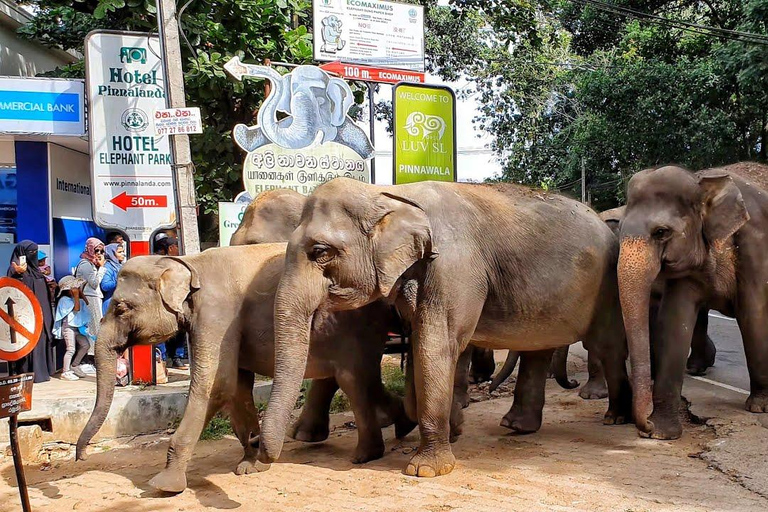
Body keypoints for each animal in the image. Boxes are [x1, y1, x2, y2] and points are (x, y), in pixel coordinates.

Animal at [76, 246, 414, 494]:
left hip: (356, 327)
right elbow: (235, 386)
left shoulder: (217, 314)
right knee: (356, 378)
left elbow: (215, 384)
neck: (187, 263)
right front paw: (251, 463)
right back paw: (401, 422)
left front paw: (163, 486)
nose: (81, 456)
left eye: (121, 307)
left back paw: (367, 454)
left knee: (353, 379)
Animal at [256, 178, 632, 478]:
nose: (261, 457)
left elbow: (436, 343)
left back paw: (616, 418)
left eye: (320, 251)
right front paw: (443, 428)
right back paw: (517, 426)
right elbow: (422, 342)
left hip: (606, 288)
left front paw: (425, 470)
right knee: (538, 348)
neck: (391, 194)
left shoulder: (455, 266)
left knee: (608, 345)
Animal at [616, 165, 768, 440]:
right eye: (619, 228)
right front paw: (661, 433)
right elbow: (675, 320)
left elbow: (753, 313)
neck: (702, 179)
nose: (645, 424)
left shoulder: (756, 243)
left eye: (661, 232)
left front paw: (759, 407)